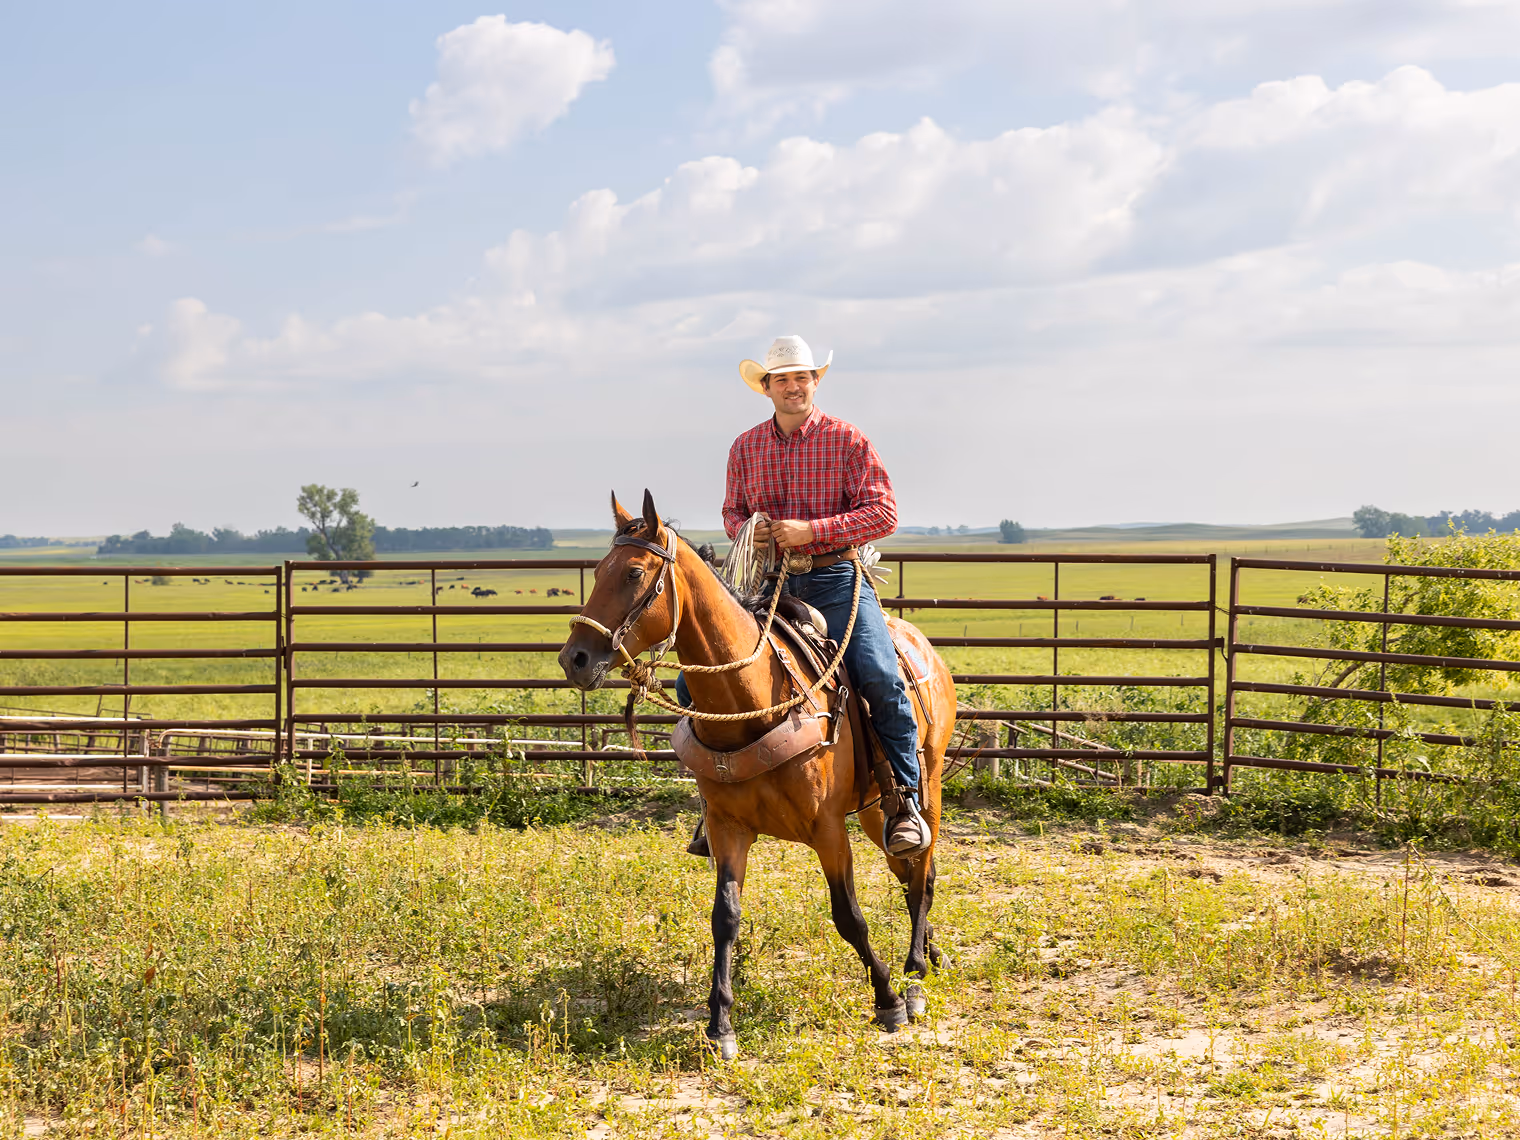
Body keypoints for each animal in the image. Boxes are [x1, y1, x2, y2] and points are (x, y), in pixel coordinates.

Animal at [559, 490, 957, 1059]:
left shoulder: (828, 830)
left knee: (921, 871)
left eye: (634, 573)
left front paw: (887, 998)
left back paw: (916, 975)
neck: (752, 701)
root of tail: (919, 643)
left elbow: (848, 915)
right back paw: (930, 952)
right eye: (597, 571)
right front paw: (720, 1024)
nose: (574, 658)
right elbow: (724, 918)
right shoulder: (729, 827)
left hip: (927, 782)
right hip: (877, 806)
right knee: (909, 870)